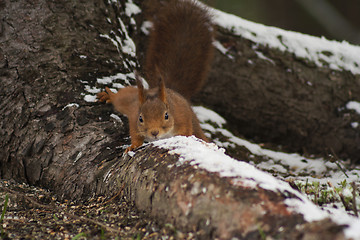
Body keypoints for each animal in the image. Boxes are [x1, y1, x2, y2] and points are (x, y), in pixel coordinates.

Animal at [96, 0, 214, 152]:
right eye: (141, 118)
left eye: (166, 116)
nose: (154, 132)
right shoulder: (134, 116)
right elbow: (135, 134)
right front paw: (133, 145)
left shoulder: (183, 119)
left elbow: (186, 132)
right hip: (128, 101)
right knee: (120, 98)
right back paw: (109, 95)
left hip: (193, 120)